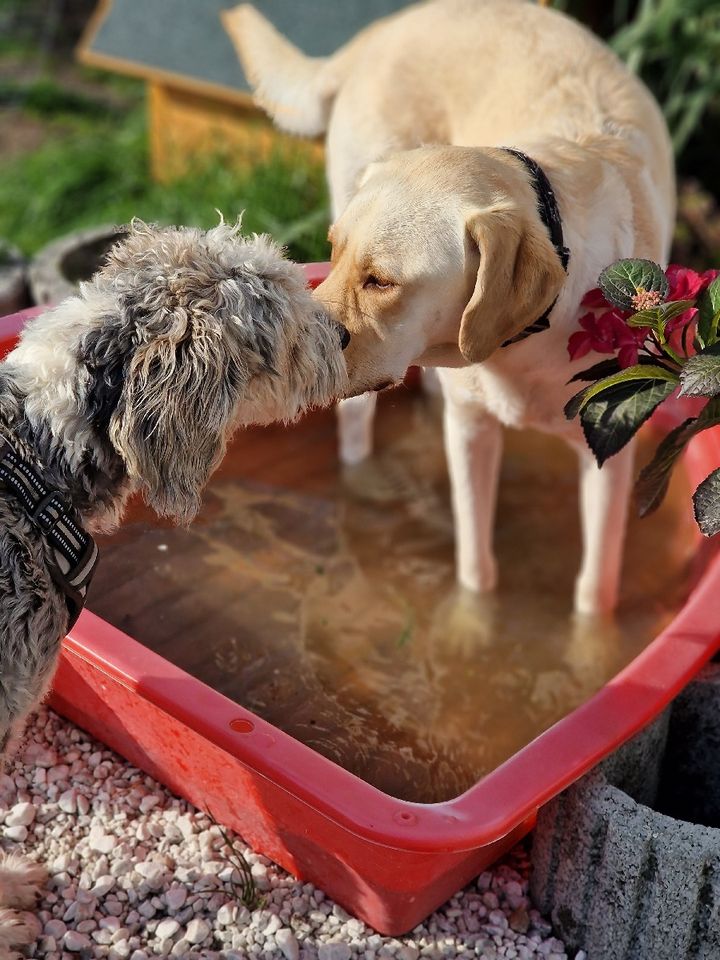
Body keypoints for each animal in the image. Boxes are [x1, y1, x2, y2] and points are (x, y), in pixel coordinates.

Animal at [225, 0, 676, 616]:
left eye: (381, 281)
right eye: (333, 252)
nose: (295, 344)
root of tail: (381, 31)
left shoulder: (609, 449)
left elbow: (594, 588)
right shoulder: (469, 429)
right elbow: (475, 569)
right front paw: (474, 620)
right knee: (357, 425)